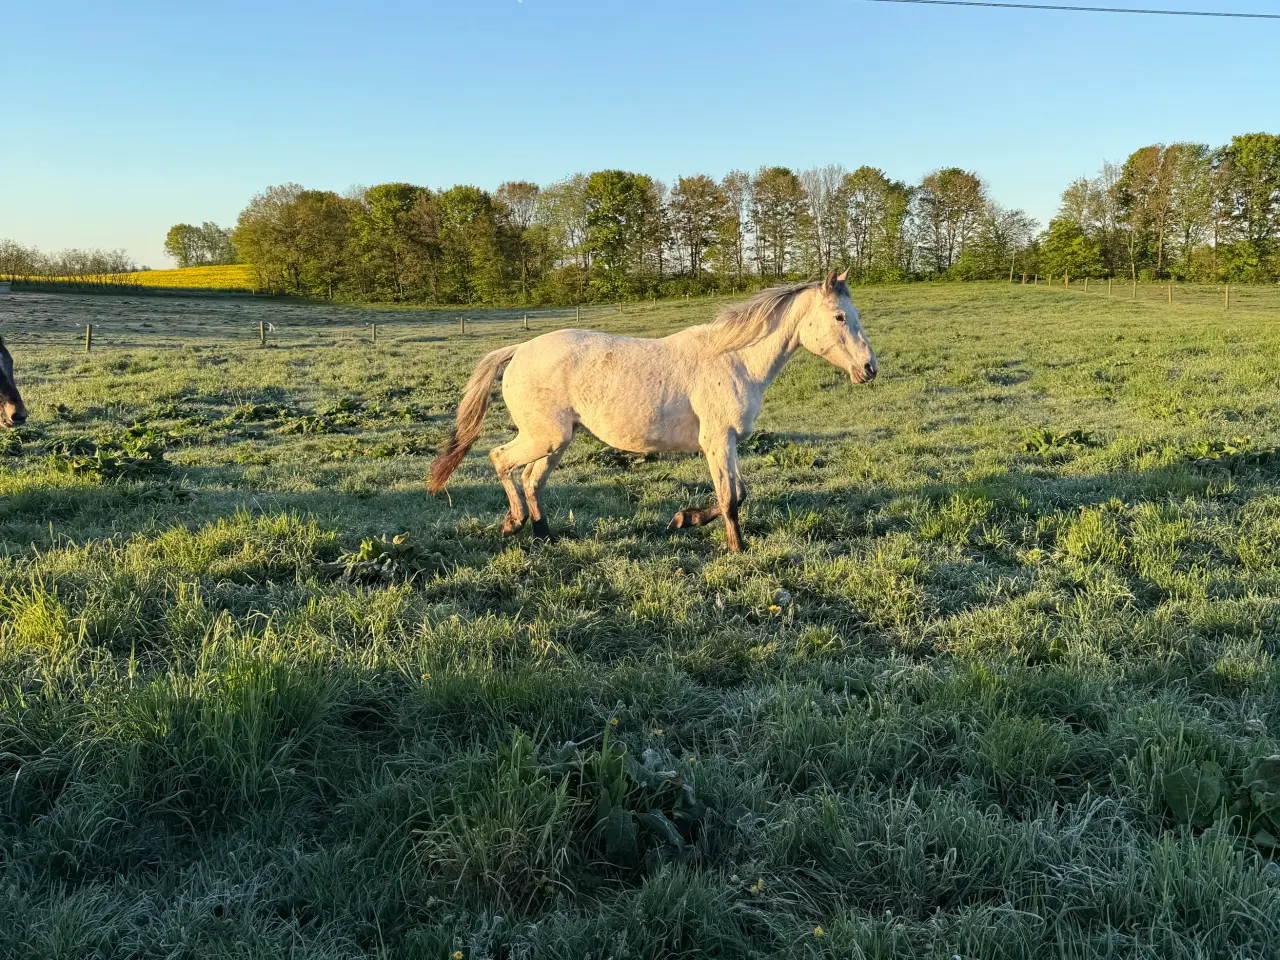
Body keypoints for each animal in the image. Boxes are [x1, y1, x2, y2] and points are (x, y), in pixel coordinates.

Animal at [427, 269, 877, 552]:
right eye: (840, 317)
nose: (869, 368)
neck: (734, 360)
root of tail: (518, 349)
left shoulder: (727, 443)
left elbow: (738, 493)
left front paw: (684, 519)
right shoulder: (717, 441)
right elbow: (730, 498)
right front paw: (736, 548)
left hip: (556, 441)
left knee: (531, 478)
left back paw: (544, 536)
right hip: (546, 437)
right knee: (500, 459)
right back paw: (514, 523)